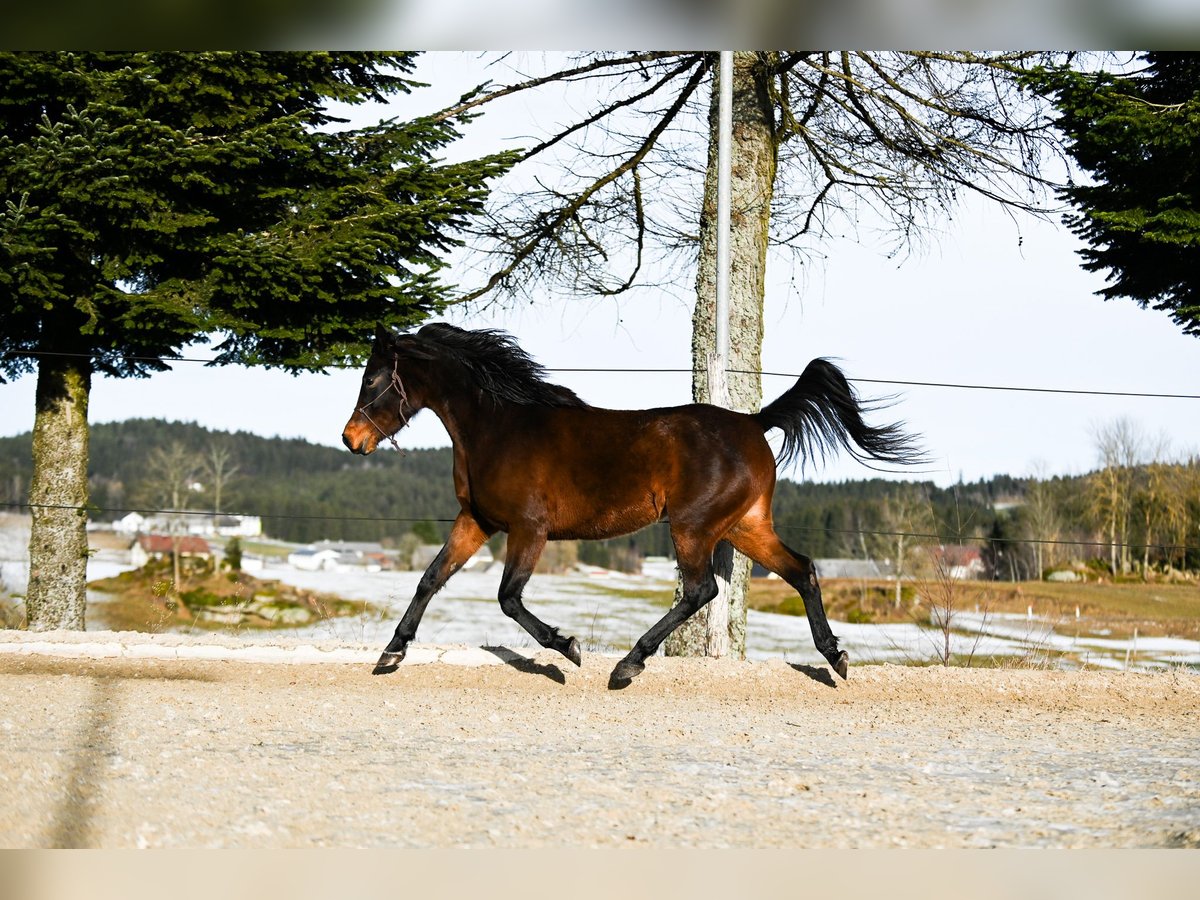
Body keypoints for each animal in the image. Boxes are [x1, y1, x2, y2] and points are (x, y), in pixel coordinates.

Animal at [343, 321, 921, 681]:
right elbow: (430, 578)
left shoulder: (530, 529)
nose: (351, 440)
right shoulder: (477, 521)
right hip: (745, 527)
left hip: (693, 526)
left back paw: (629, 664)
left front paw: (569, 649)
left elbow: (508, 598)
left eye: (373, 379)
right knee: (802, 570)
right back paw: (835, 658)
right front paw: (390, 654)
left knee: (701, 590)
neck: (500, 427)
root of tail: (754, 423)